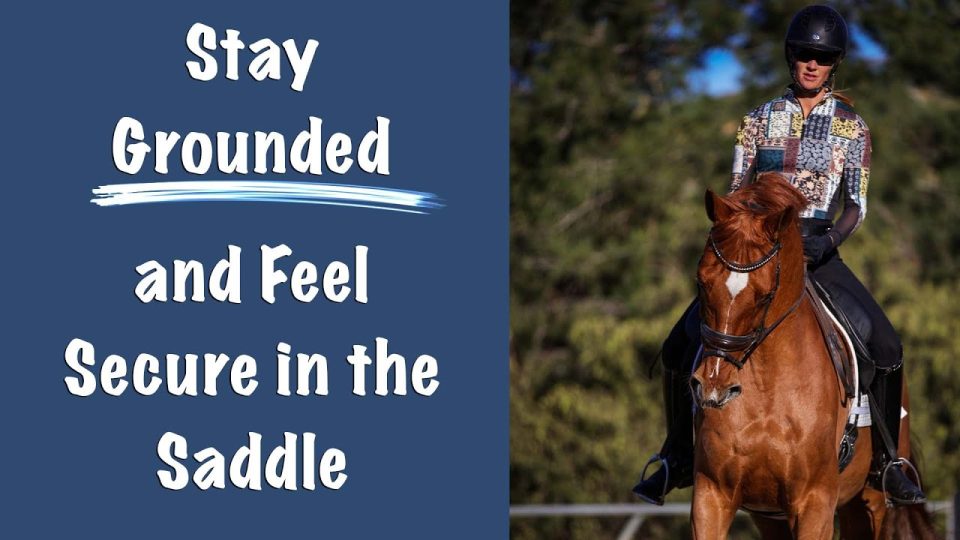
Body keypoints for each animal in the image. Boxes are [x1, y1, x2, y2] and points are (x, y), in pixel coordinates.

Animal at [689, 172, 937, 539]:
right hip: (771, 517)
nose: (714, 387)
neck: (767, 391)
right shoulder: (712, 497)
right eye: (701, 283)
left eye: (765, 296)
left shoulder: (814, 502)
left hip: (871, 503)